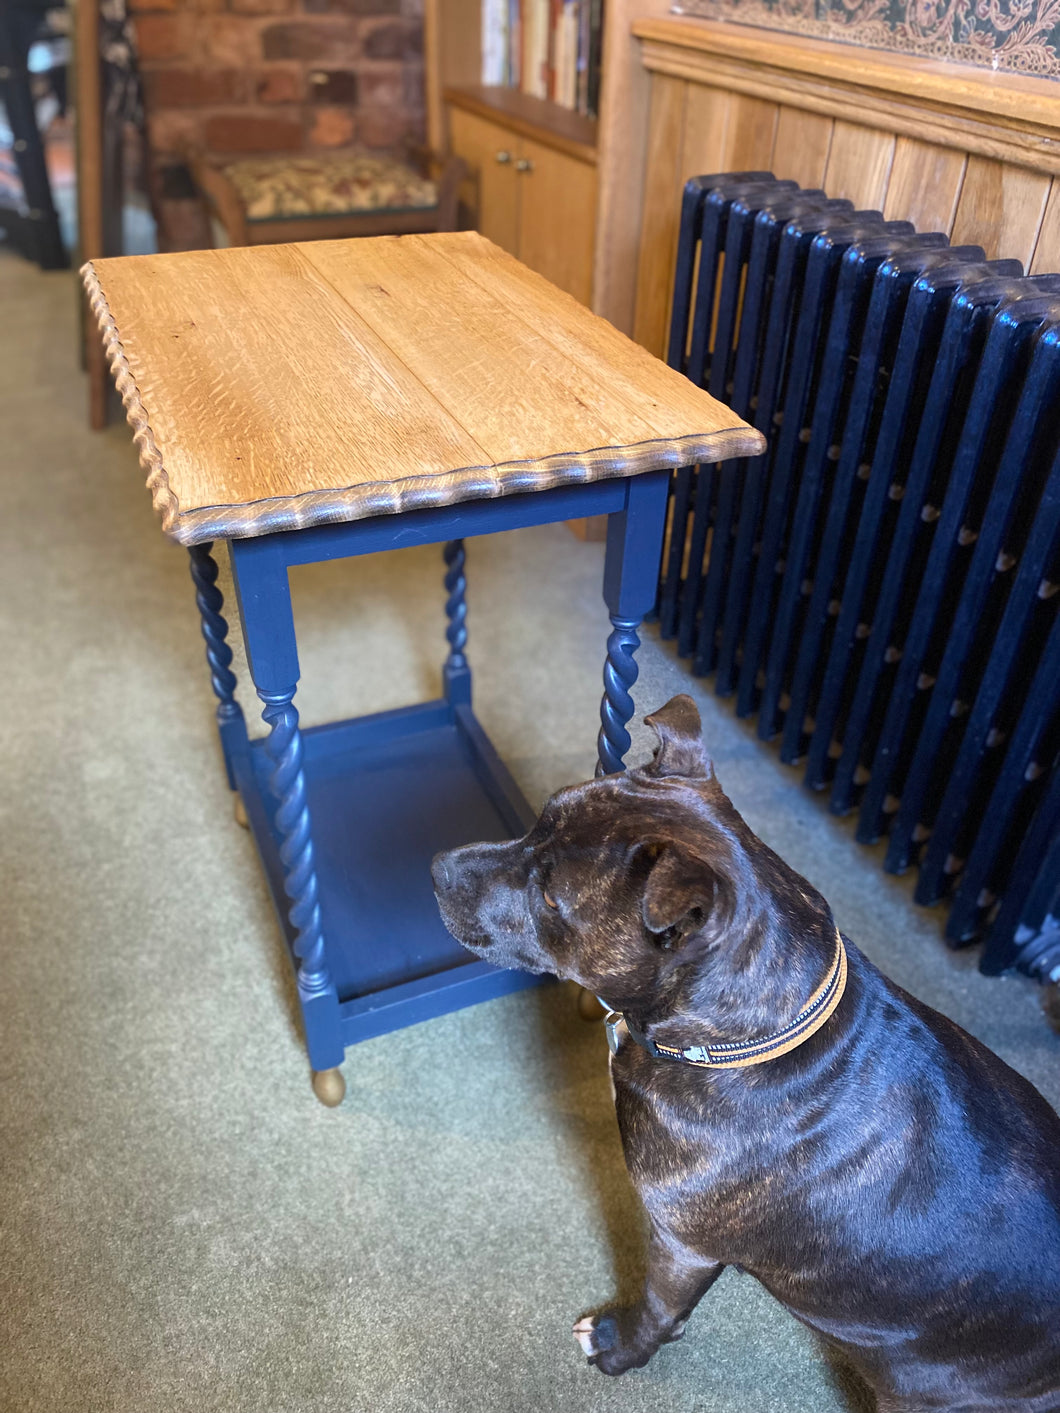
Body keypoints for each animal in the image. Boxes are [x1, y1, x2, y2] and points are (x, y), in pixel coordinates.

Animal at [432, 695, 1060, 1413]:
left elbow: (658, 1312)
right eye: (541, 818)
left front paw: (619, 1350)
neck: (751, 1038)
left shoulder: (681, 1245)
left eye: (549, 899)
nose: (436, 869)